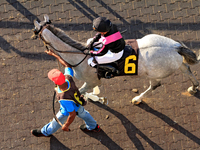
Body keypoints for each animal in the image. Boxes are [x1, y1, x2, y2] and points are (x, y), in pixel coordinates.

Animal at [32, 14, 198, 104]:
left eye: (35, 31)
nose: (32, 36)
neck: (79, 56)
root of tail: (175, 47)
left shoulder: (92, 81)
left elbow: (81, 90)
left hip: (155, 73)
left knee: (155, 85)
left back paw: (138, 99)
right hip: (173, 61)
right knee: (186, 69)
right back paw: (194, 87)